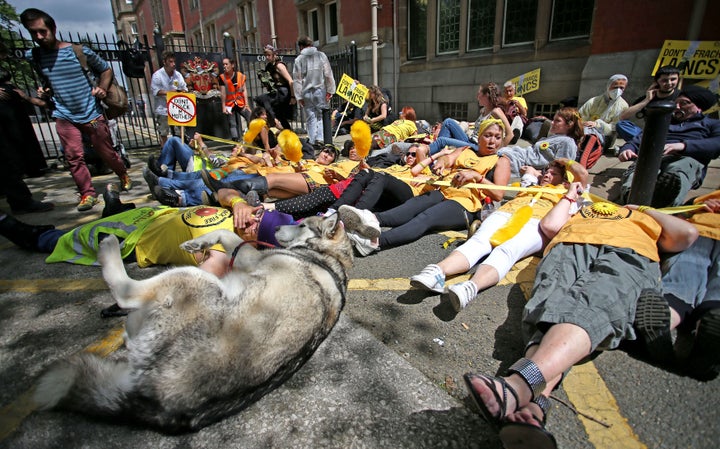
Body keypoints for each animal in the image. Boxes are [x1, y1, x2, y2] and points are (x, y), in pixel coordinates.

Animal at [33, 215, 354, 432]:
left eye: (302, 225)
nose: (273, 228)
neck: (328, 256)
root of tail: (160, 404)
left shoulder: (251, 258)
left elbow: (226, 233)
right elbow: (226, 235)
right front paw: (199, 242)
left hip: (193, 279)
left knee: (126, 294)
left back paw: (109, 248)